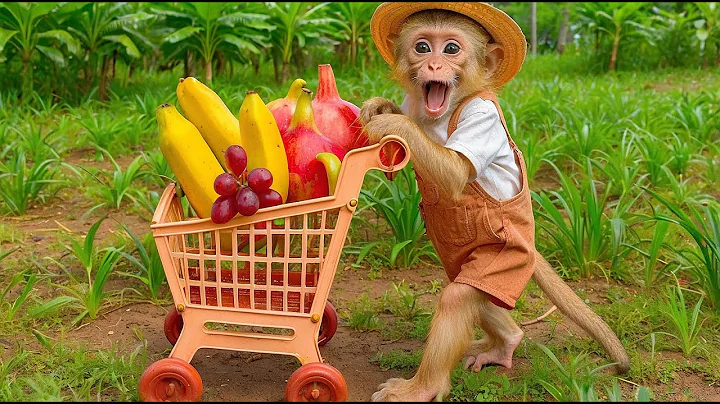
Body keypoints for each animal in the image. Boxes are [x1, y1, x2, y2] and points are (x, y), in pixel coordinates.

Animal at [359, 4, 630, 402]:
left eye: (451, 49)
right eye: (422, 47)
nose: (434, 65)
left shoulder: (482, 119)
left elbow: (456, 171)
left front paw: (394, 123)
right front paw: (381, 106)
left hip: (507, 260)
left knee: (459, 297)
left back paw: (423, 387)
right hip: (464, 260)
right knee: (470, 288)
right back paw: (507, 342)